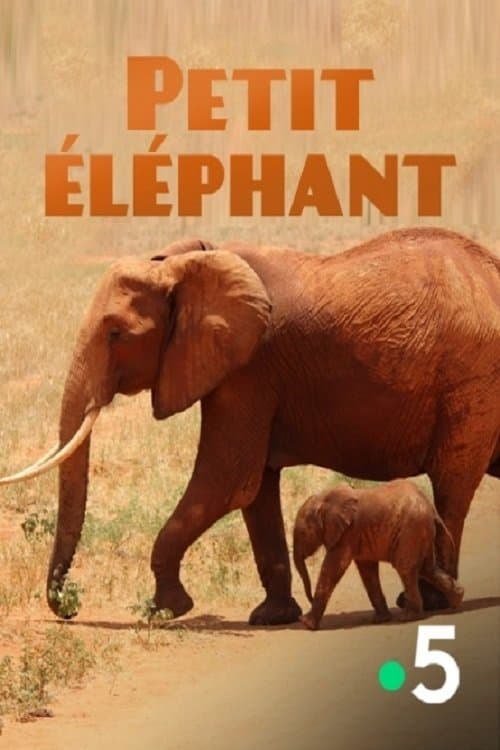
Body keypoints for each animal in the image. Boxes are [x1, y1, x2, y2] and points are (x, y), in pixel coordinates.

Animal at [293, 480, 464, 631]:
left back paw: (409, 617)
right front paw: (381, 620)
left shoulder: (348, 533)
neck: (324, 499)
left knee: (406, 568)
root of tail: (431, 508)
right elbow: (367, 570)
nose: (309, 599)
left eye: (302, 533)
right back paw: (457, 601)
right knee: (427, 569)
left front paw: (306, 624)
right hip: (422, 531)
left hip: (412, 529)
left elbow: (333, 567)